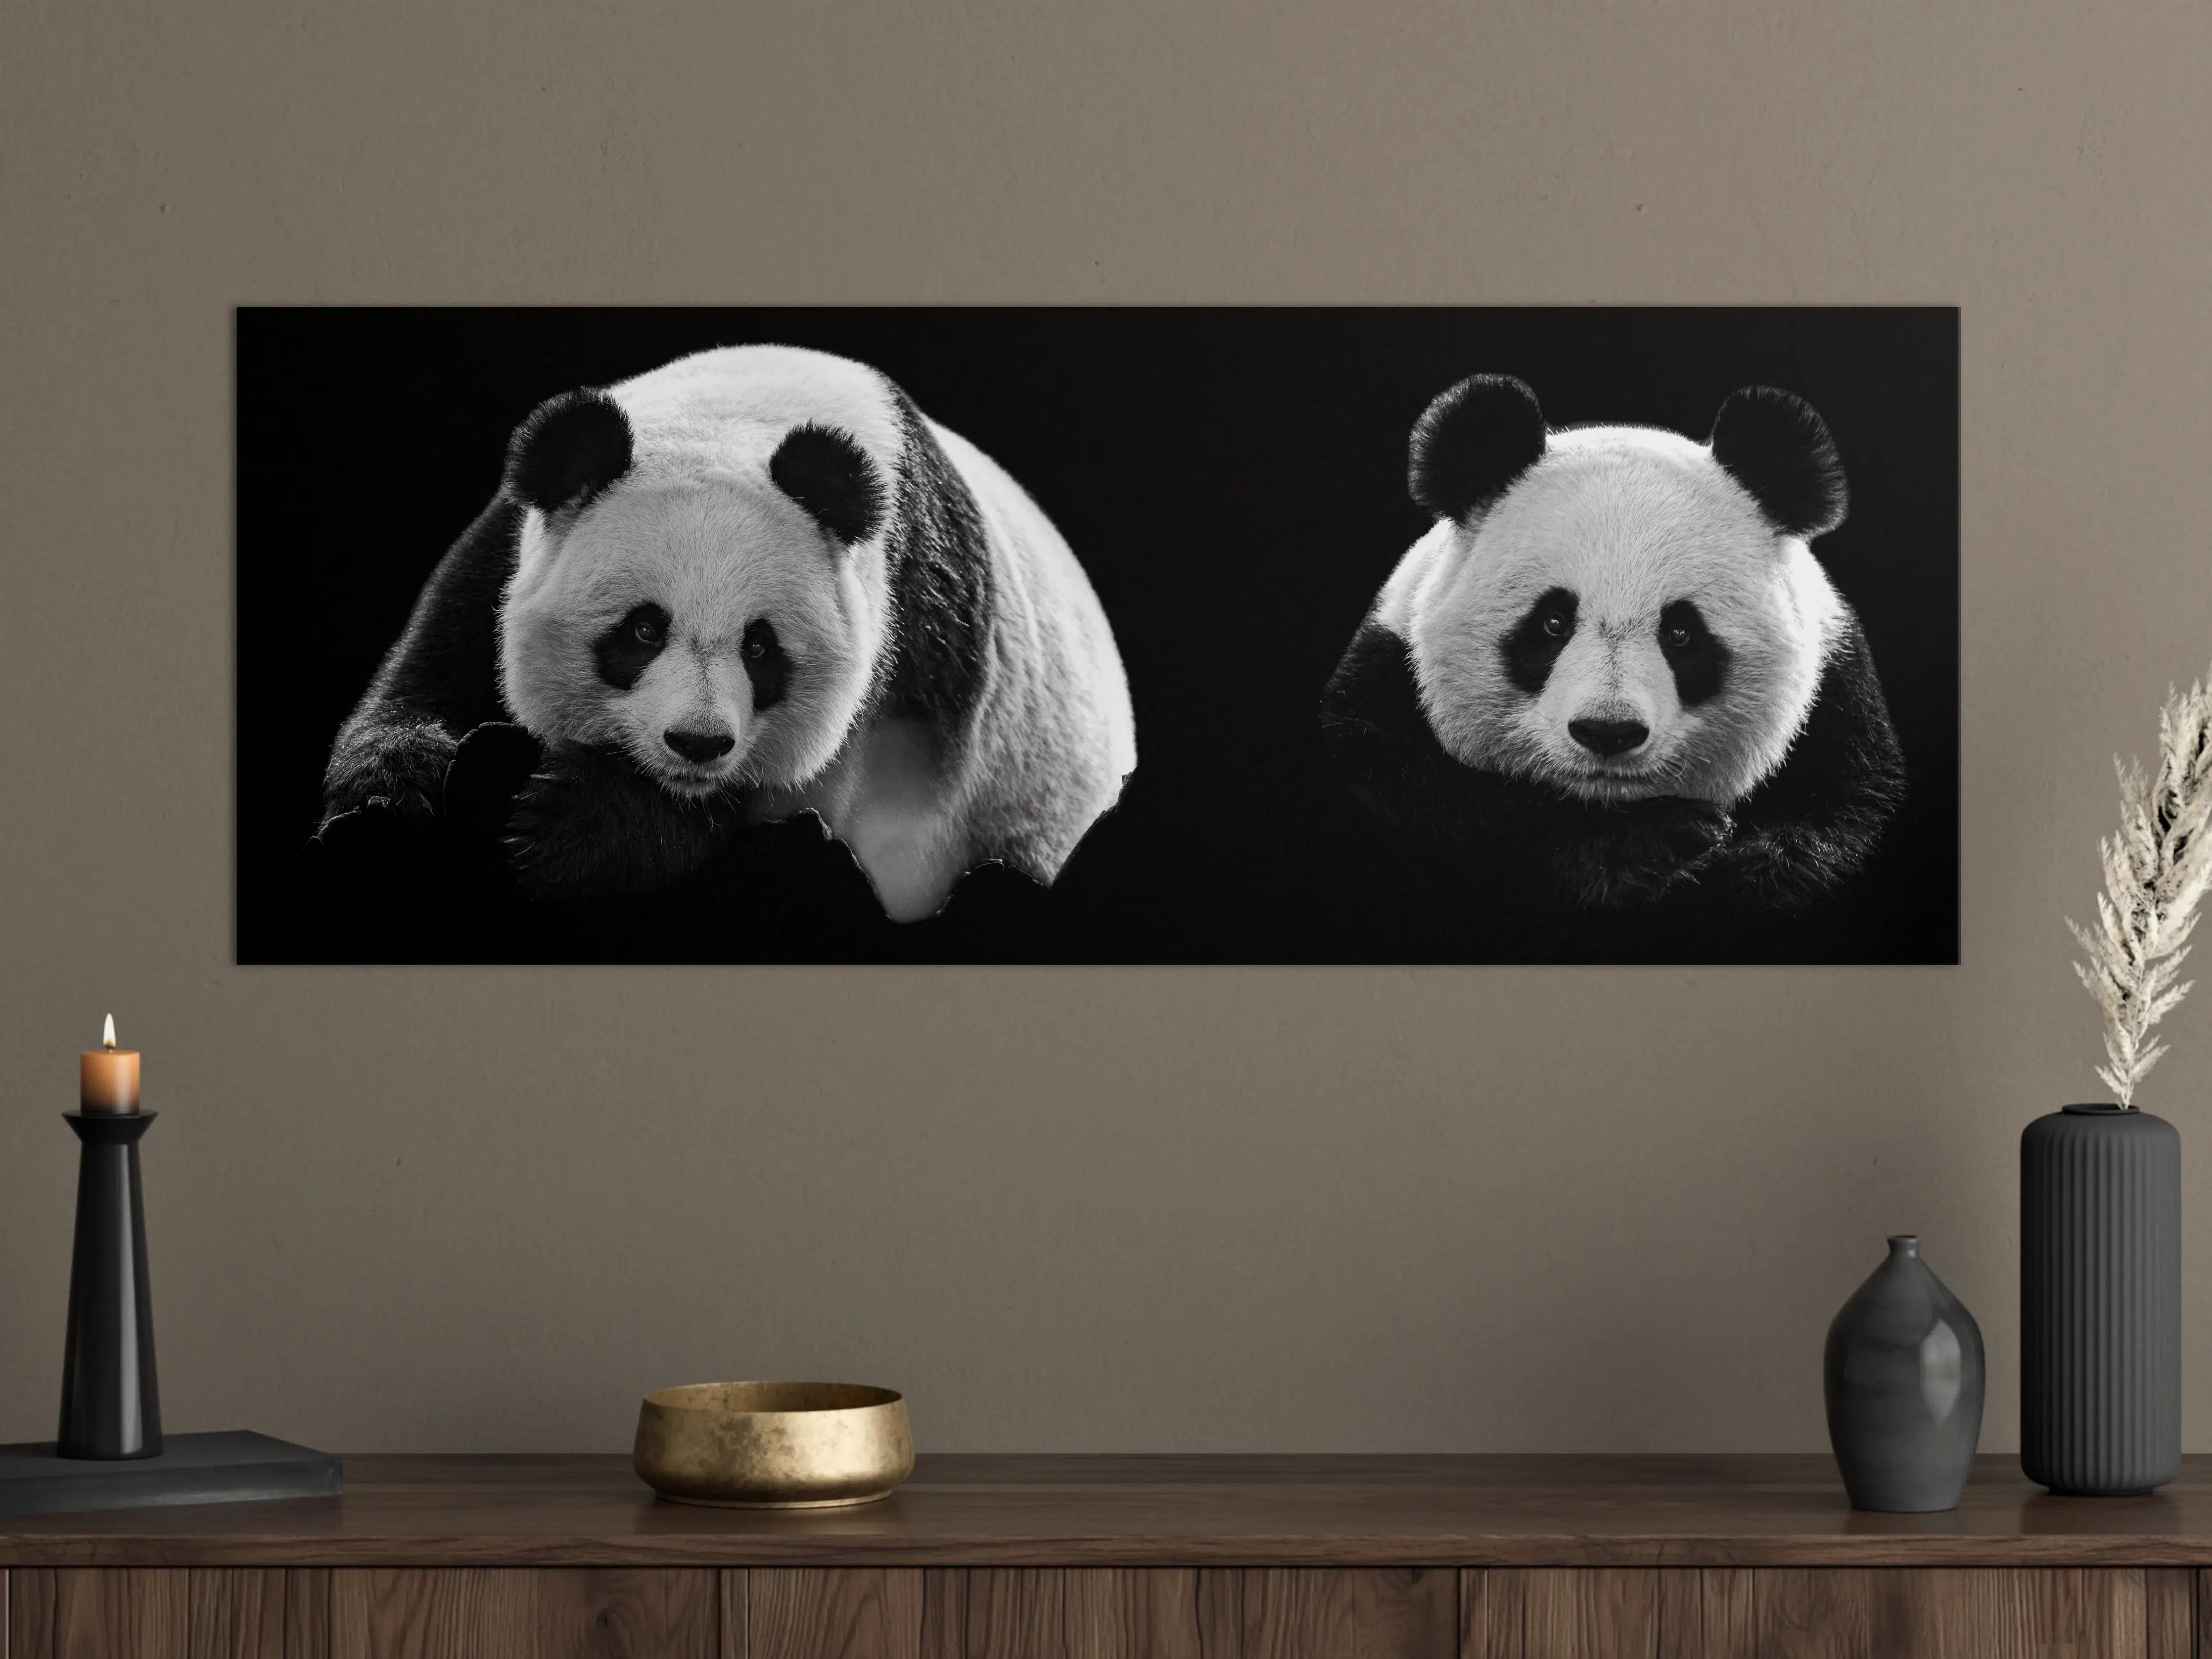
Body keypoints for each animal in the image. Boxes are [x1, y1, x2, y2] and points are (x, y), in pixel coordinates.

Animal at [322, 345, 1137, 923]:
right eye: (642, 630)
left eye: (761, 647)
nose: (698, 743)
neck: (745, 416)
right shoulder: (506, 552)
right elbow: (433, 673)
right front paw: (389, 800)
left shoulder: (907, 654)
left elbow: (812, 805)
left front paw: (566, 822)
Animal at [1319, 373, 1905, 912]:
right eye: (1553, 623)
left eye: (1681, 633)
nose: (1608, 732)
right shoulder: (1385, 677)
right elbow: (1425, 793)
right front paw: (1653, 844)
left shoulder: (1839, 713)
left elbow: (1841, 816)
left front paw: (1752, 869)